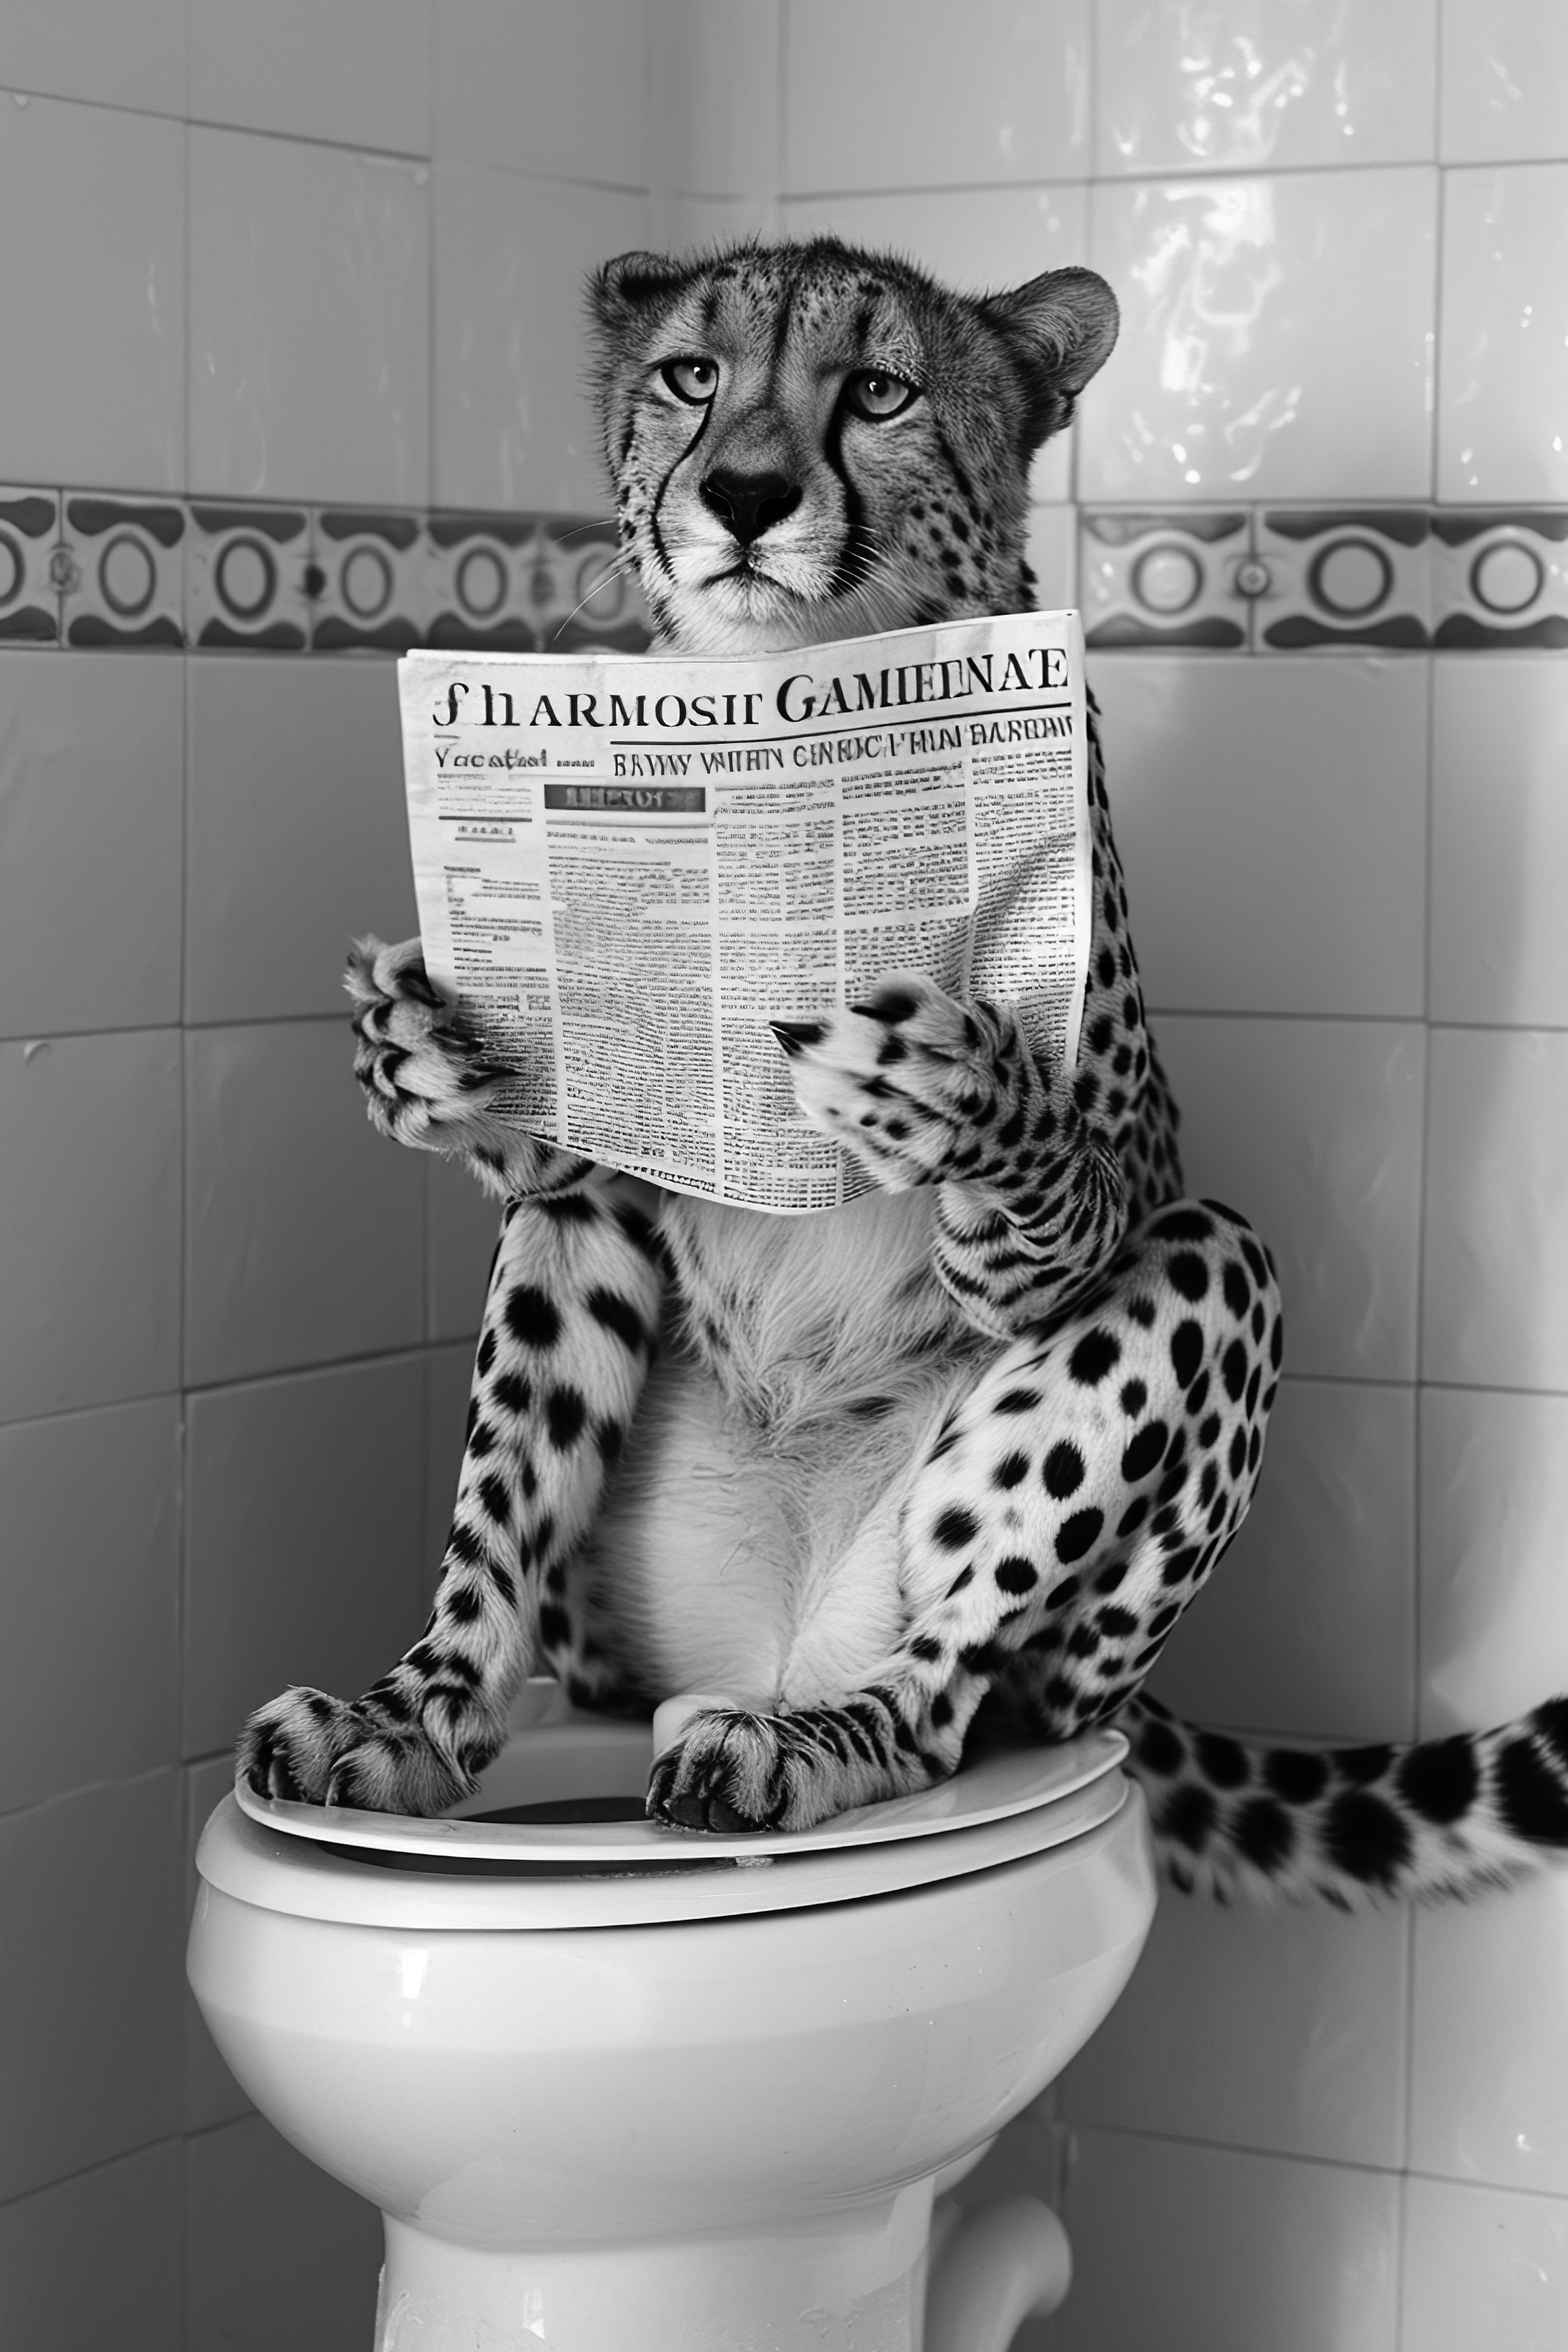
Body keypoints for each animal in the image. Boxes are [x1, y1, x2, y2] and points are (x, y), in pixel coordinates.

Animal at [240, 236, 1568, 1908]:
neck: (789, 724)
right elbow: (528, 1290)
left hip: (1097, 1542)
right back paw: (409, 1720)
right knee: (510, 1543)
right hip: (604, 1603)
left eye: (877, 391)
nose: (743, 494)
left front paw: (948, 1087)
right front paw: (426, 1047)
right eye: (692, 374)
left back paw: (806, 1744)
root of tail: (762, 1652)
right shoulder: (606, 1164)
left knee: (945, 1687)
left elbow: (1034, 1183)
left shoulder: (1093, 1181)